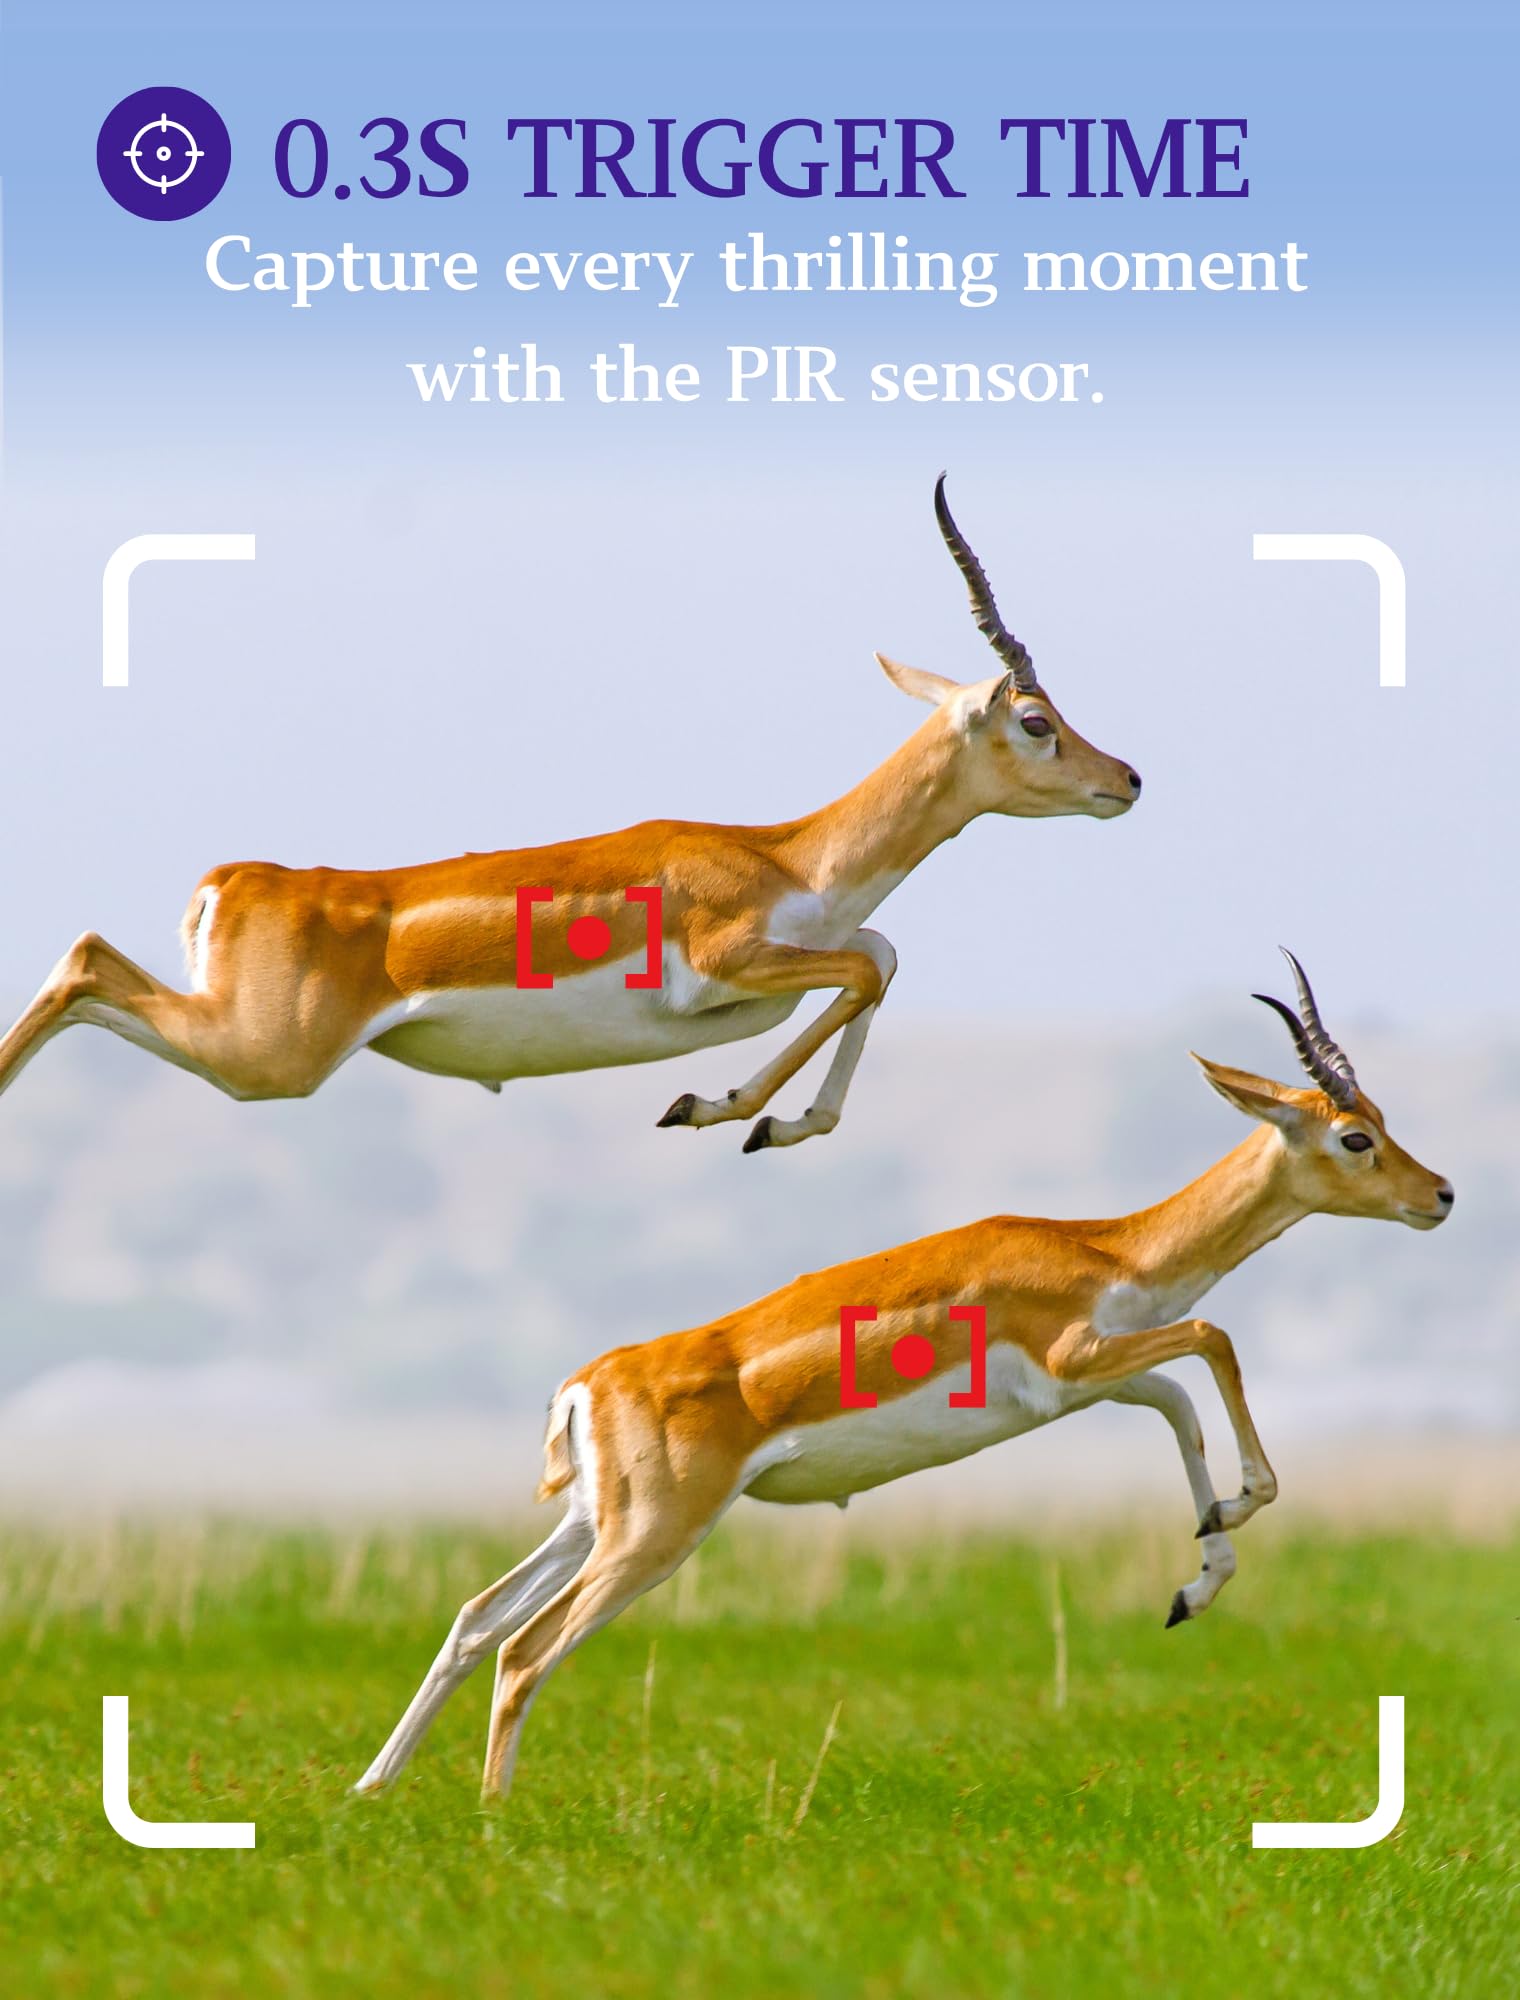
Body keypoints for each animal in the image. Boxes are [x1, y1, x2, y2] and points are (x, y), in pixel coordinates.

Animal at [0, 481, 1140, 1151]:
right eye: (1034, 719)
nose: (1125, 779)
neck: (790, 858)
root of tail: (237, 882)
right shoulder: (725, 967)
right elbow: (863, 970)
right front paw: (713, 1108)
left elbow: (883, 958)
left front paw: (774, 1123)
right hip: (261, 1059)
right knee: (83, 960)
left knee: (86, 958)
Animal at [352, 954, 1453, 1802]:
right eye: (1353, 1135)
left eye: (1382, 1116)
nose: (1439, 1192)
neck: (1103, 1248)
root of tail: (592, 1381)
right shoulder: (1081, 1359)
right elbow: (1214, 1337)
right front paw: (1228, 1523)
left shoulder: (1096, 1379)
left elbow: (1183, 1404)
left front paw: (1197, 1574)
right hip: (651, 1537)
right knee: (525, 1649)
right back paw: (493, 1813)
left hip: (590, 1520)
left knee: (473, 1620)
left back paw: (373, 1788)